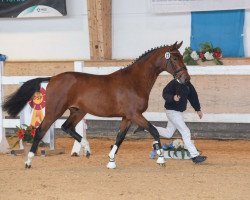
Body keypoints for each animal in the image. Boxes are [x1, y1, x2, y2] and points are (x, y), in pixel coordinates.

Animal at [2, 41, 189, 168]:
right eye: (174, 58)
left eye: (180, 57)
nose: (185, 79)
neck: (134, 81)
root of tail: (53, 78)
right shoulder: (135, 115)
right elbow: (154, 131)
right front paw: (161, 159)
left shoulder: (127, 117)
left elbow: (120, 137)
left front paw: (111, 161)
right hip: (54, 112)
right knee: (40, 131)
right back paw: (28, 161)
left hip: (77, 112)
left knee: (66, 127)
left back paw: (86, 148)